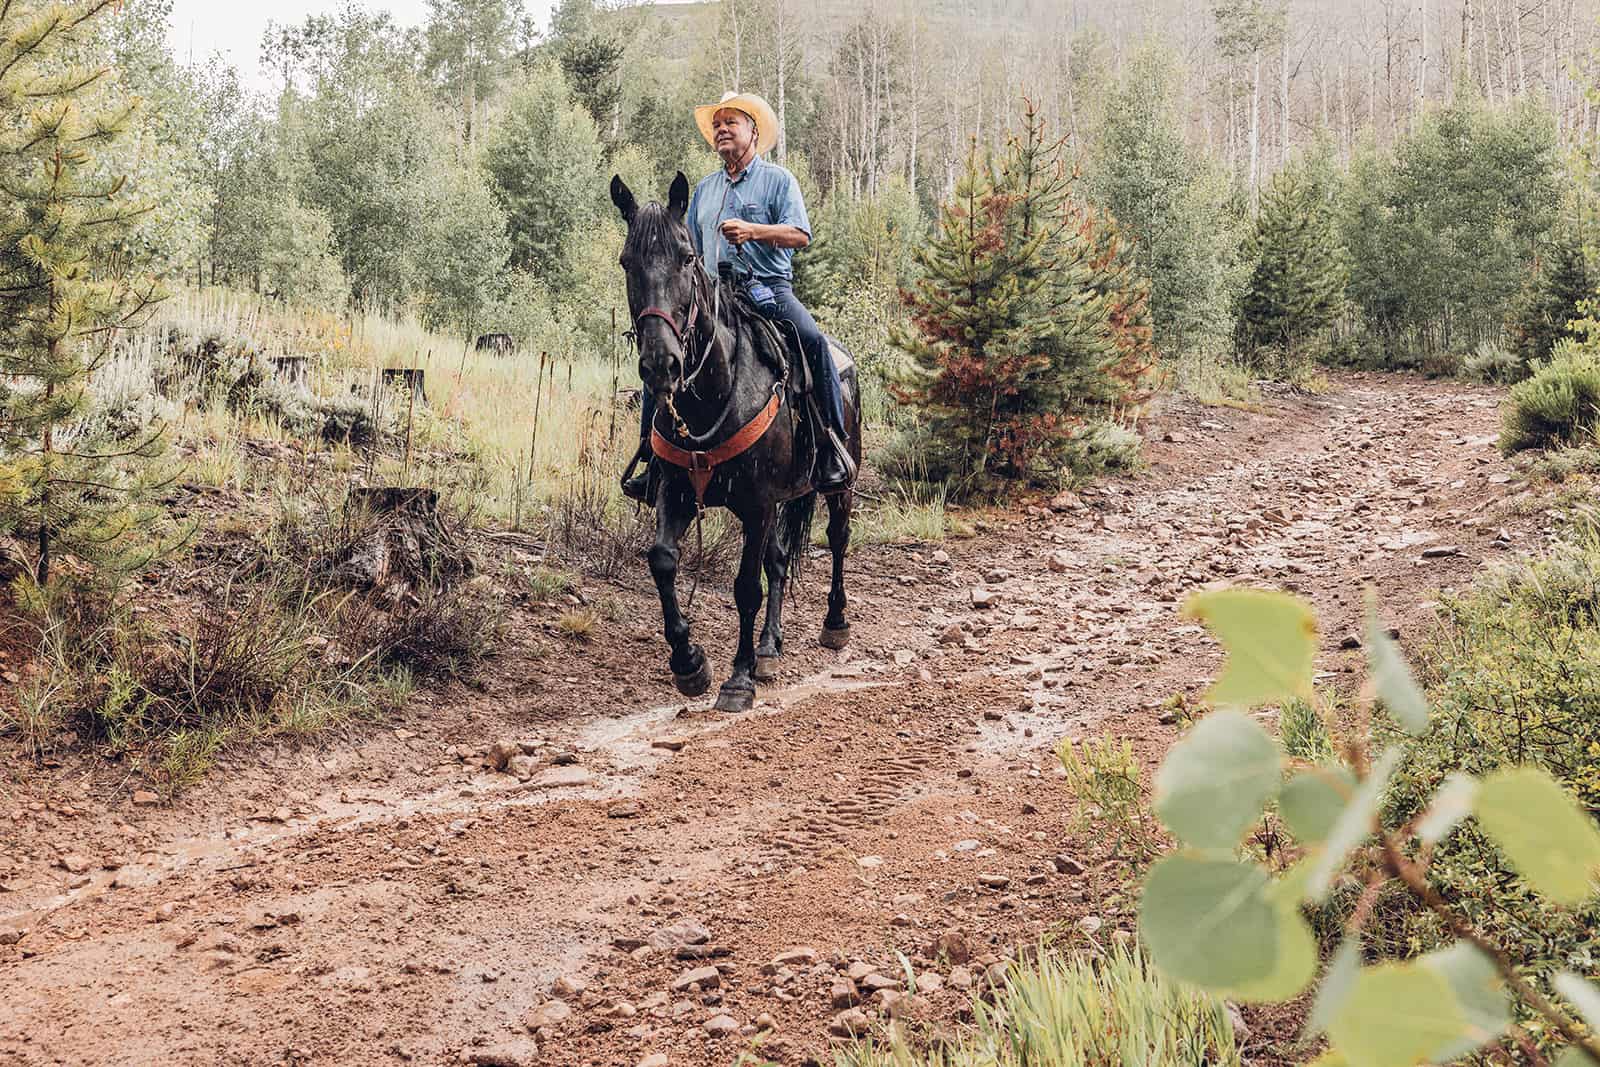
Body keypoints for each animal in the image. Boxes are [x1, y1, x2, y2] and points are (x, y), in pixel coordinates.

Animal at [611, 171, 864, 713]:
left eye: (687, 257)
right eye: (627, 262)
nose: (661, 365)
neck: (715, 392)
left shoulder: (758, 503)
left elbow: (746, 586)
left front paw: (738, 679)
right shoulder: (678, 492)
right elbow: (662, 561)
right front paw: (690, 664)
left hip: (839, 484)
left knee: (837, 539)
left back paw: (834, 624)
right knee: (780, 560)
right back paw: (770, 648)